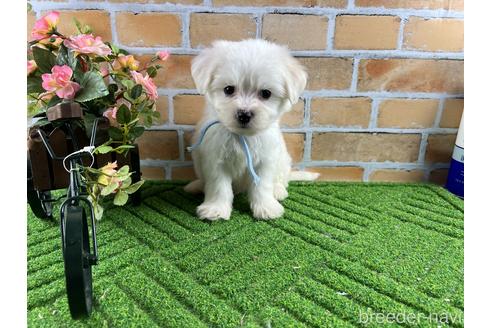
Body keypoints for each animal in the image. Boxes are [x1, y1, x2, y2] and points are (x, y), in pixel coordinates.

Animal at [184, 39, 320, 222]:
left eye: (266, 93)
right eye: (228, 89)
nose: (244, 114)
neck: (243, 136)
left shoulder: (266, 160)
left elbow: (262, 185)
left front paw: (266, 208)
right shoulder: (215, 161)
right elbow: (219, 186)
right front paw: (216, 209)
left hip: (283, 161)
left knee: (281, 179)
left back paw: (278, 191)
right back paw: (197, 185)